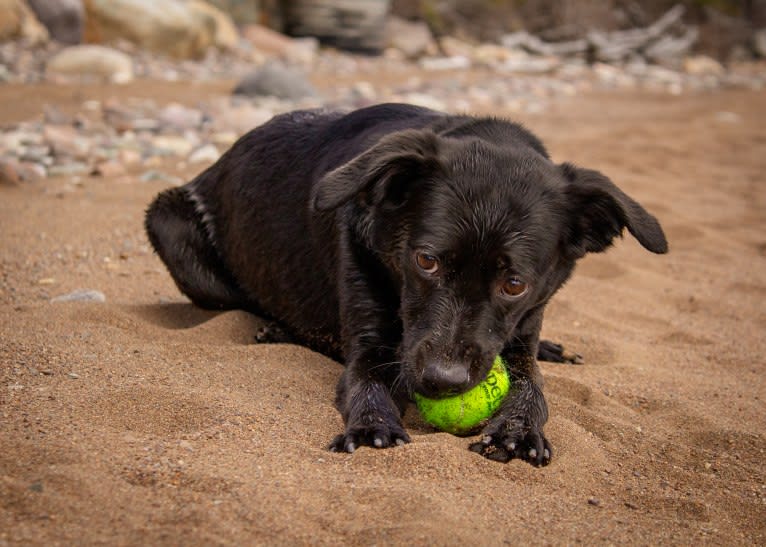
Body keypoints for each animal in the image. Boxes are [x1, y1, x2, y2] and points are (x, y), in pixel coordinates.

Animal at [147, 104, 668, 466]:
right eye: (426, 260)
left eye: (515, 284)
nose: (443, 381)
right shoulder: (371, 345)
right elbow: (367, 383)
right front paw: (372, 427)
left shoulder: (521, 331)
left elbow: (532, 386)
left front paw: (520, 429)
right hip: (168, 223)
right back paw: (275, 329)